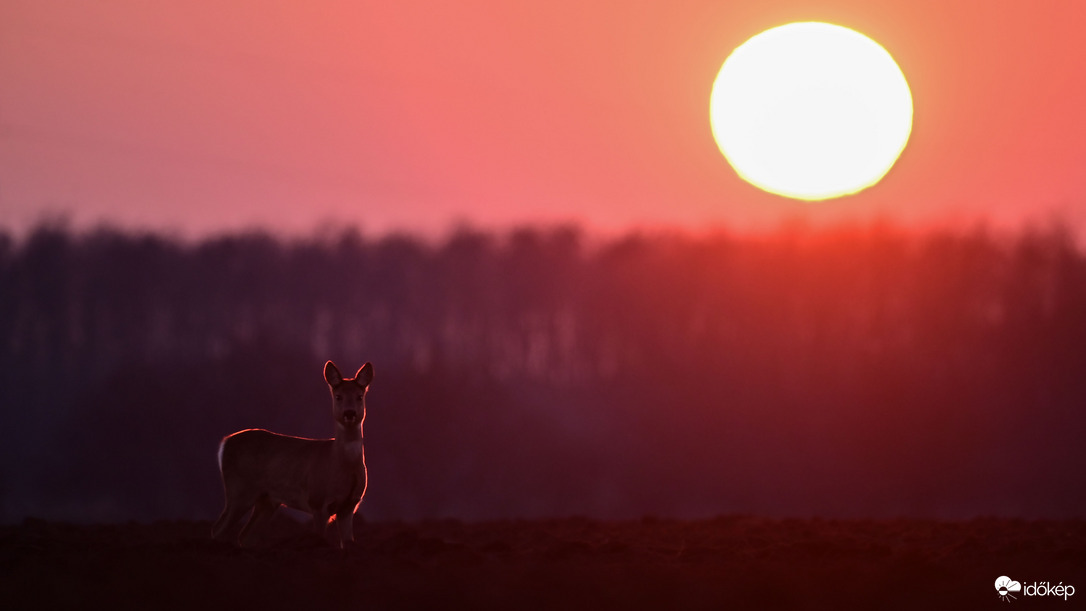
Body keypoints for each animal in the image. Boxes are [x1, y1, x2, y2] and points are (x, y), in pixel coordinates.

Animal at [210, 360, 373, 546]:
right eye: (338, 396)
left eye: (359, 396)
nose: (349, 413)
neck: (341, 464)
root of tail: (225, 442)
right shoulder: (318, 501)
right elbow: (318, 538)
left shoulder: (349, 506)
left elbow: (348, 542)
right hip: (239, 489)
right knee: (218, 528)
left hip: (267, 500)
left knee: (244, 534)